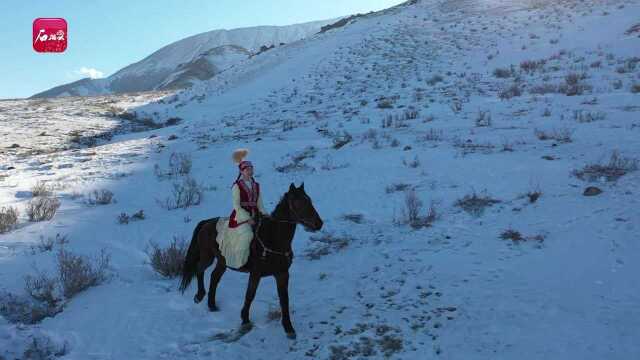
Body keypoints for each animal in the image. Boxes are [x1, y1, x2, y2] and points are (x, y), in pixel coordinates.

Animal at [179, 183, 322, 338]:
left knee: (214, 277)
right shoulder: (256, 274)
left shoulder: (282, 274)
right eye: (298, 203)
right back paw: (199, 296)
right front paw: (245, 319)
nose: (319, 223)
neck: (273, 238)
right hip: (208, 257)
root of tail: (206, 223)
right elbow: (250, 295)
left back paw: (212, 305)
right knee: (200, 269)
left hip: (222, 261)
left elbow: (284, 299)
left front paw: (288, 328)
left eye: (309, 200)